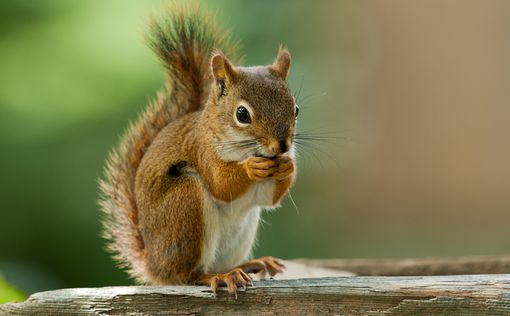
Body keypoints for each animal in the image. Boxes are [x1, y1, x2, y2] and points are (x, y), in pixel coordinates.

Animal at [98, 4, 298, 296]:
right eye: (242, 114)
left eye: (296, 109)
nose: (282, 145)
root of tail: (155, 265)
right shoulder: (202, 150)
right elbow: (221, 184)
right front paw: (251, 168)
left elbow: (269, 198)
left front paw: (288, 166)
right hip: (185, 205)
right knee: (188, 275)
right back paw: (219, 277)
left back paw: (251, 264)